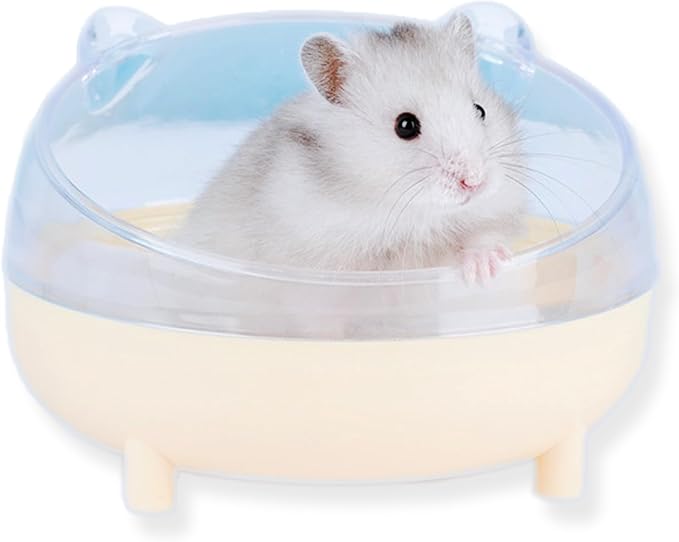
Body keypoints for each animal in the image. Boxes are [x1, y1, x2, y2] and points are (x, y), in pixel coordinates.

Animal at [175, 14, 526, 284]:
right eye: (406, 125)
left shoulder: (491, 213)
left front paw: (486, 271)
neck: (415, 211)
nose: (475, 182)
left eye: (480, 110)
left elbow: (483, 233)